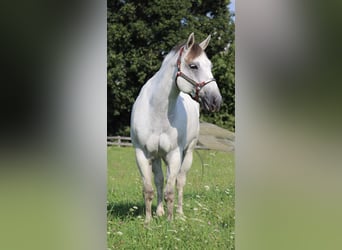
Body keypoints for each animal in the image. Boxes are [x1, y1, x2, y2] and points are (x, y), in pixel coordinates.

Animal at [130, 32, 222, 223]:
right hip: (157, 156)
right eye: (194, 66)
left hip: (187, 153)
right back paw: (159, 211)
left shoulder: (174, 155)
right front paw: (148, 222)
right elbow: (149, 189)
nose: (216, 101)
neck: (157, 112)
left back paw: (179, 214)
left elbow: (170, 191)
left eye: (210, 65)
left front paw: (170, 222)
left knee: (180, 181)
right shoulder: (142, 154)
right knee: (159, 180)